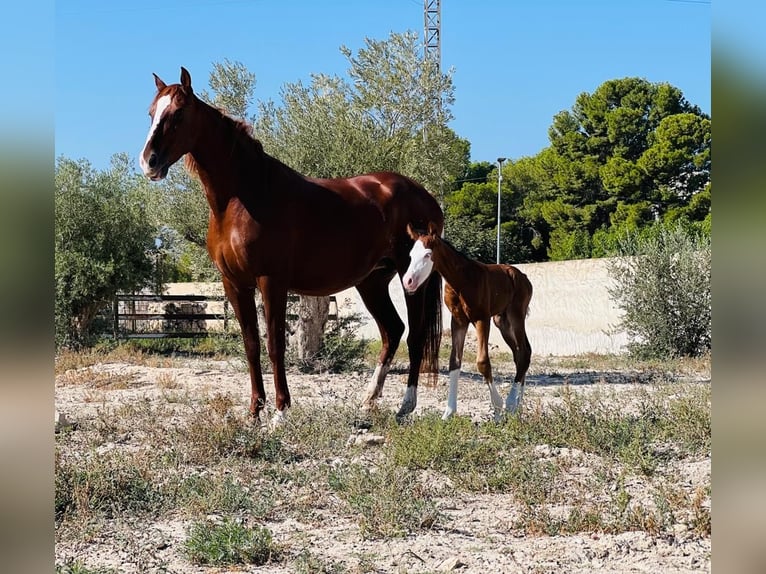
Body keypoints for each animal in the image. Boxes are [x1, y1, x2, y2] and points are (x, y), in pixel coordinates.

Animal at [140, 68, 444, 428]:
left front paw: (280, 412)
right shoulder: (234, 284)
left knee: (415, 335)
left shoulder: (272, 281)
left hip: (410, 278)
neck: (243, 198)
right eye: (151, 113)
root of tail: (425, 197)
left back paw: (405, 406)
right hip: (372, 281)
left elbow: (275, 344)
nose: (149, 162)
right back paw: (369, 401)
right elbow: (251, 344)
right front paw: (254, 412)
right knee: (392, 331)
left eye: (178, 114)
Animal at [402, 223, 536, 420]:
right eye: (411, 255)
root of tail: (524, 277)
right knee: (520, 353)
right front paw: (448, 413)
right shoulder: (458, 320)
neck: (462, 280)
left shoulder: (481, 318)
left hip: (515, 315)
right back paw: (518, 405)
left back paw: (511, 403)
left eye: (427, 254)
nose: (408, 281)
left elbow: (483, 362)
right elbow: (454, 361)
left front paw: (498, 409)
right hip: (502, 321)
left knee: (524, 353)